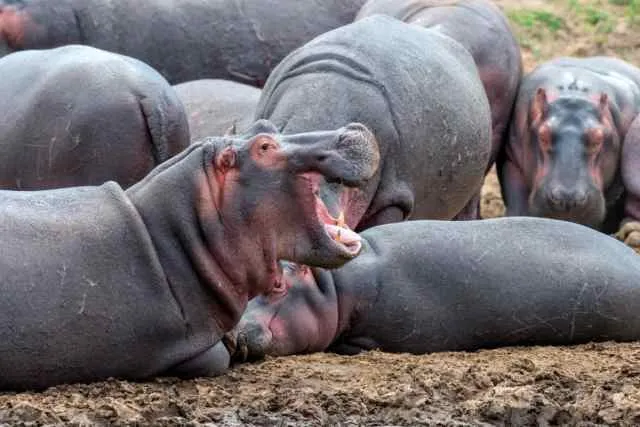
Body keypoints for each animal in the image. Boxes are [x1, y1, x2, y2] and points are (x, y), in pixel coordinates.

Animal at [498, 56, 640, 245]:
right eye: (543, 136)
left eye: (598, 138)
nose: (567, 199)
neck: (574, 95)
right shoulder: (511, 160)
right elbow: (517, 202)